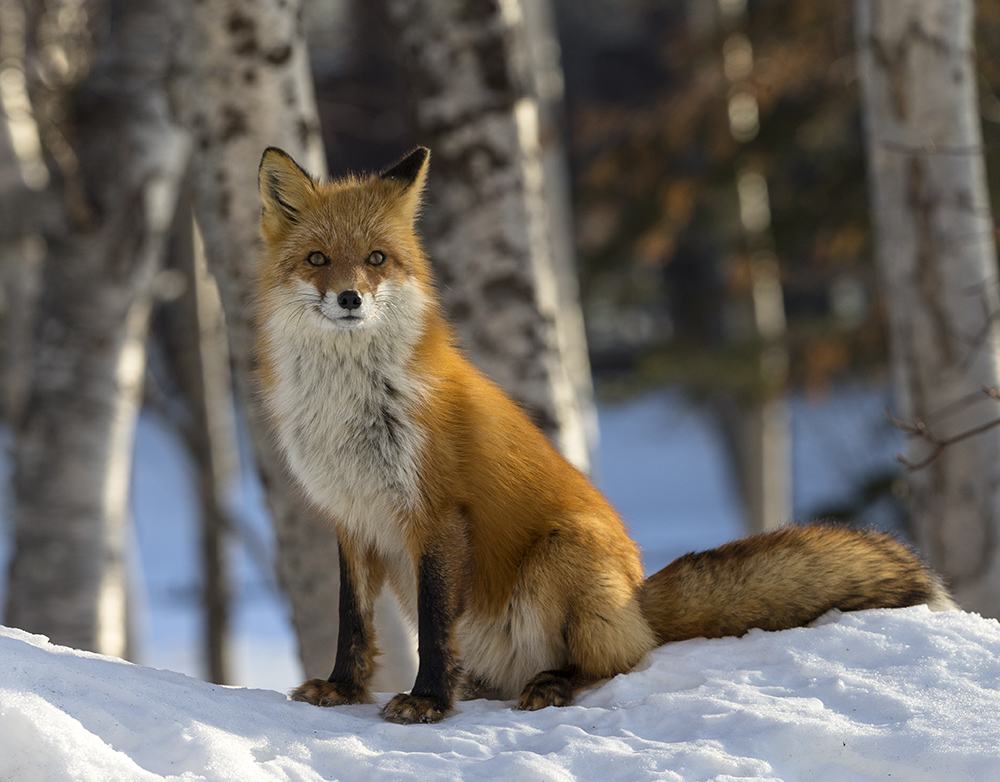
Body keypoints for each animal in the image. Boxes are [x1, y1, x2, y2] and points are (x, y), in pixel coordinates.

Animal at [254, 149, 956, 728]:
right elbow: (351, 622)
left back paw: (551, 682)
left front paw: (428, 702)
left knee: (612, 662)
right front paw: (343, 690)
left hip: (563, 553)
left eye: (376, 259)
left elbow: (430, 628)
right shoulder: (352, 518)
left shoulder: (436, 513)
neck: (351, 406)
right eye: (317, 259)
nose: (350, 298)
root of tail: (637, 601)